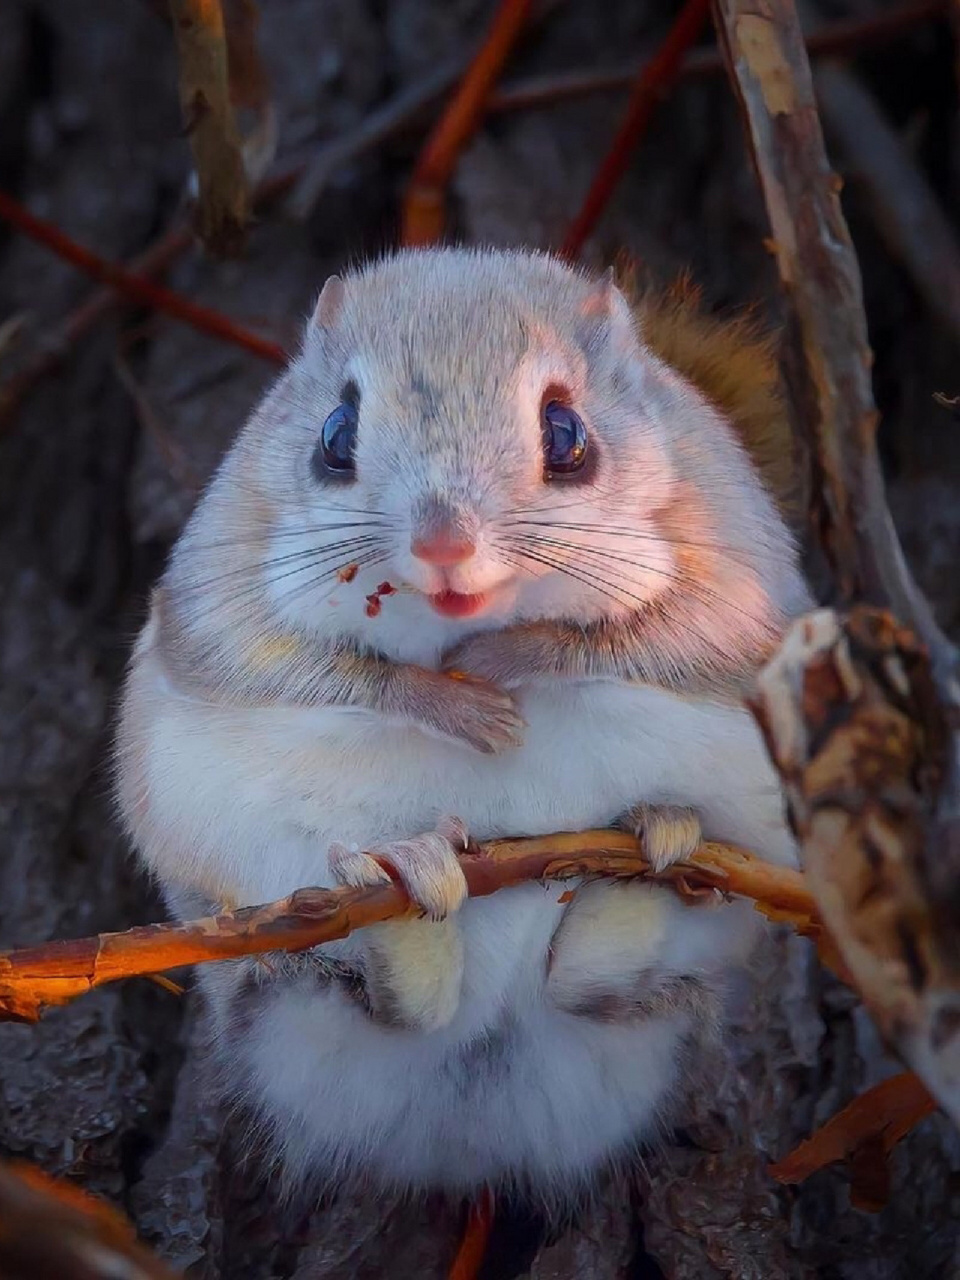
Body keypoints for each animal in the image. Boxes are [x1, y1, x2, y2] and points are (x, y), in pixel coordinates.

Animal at [115, 247, 810, 1204]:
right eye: (334, 434)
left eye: (568, 434)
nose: (443, 547)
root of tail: (470, 1144)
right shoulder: (218, 600)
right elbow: (309, 667)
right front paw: (455, 704)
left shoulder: (737, 590)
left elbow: (650, 641)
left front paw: (508, 659)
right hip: (267, 940)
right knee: (362, 1004)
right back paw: (405, 890)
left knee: (603, 992)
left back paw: (649, 862)